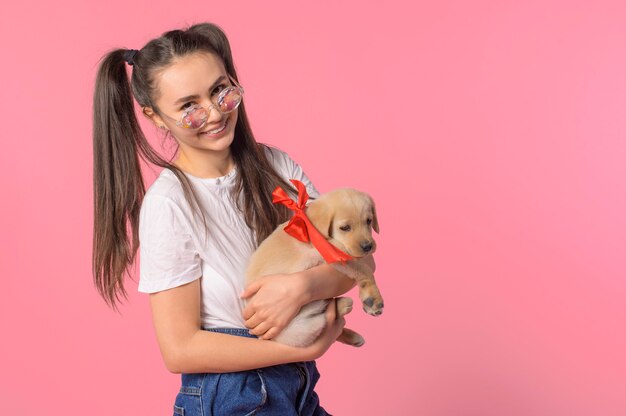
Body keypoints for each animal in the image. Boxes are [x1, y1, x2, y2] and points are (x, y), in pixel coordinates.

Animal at [244, 188, 380, 348]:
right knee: (322, 322)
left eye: (369, 221)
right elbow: (364, 269)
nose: (368, 247)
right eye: (345, 228)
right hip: (300, 325)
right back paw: (343, 306)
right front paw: (374, 299)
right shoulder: (333, 253)